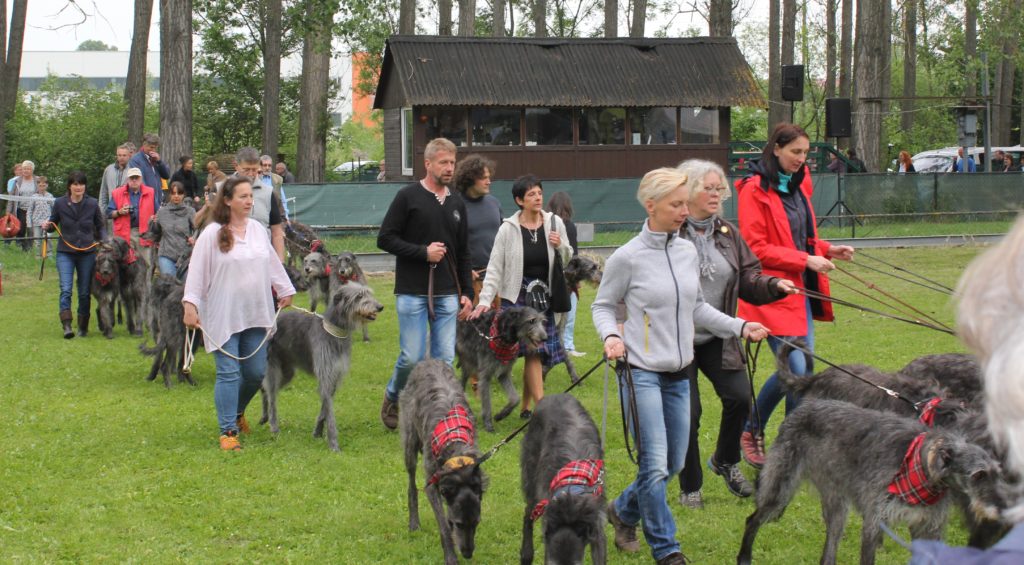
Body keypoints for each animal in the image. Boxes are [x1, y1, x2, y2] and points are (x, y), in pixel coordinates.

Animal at [259, 283, 383, 451]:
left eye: (369, 293)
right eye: (359, 296)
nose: (380, 307)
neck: (334, 332)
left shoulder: (335, 376)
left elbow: (325, 407)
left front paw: (317, 432)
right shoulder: (325, 373)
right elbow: (330, 412)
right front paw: (334, 444)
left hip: (287, 372)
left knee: (264, 389)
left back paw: (264, 417)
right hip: (274, 368)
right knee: (271, 396)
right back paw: (273, 427)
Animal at [400, 359, 487, 565]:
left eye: (476, 523)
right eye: (459, 524)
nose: (467, 554)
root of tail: (427, 360)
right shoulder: (432, 483)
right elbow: (443, 526)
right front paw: (451, 556)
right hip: (410, 442)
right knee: (411, 484)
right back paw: (414, 522)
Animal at [736, 399, 1003, 565]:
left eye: (997, 472)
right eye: (978, 475)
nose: (1001, 513)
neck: (920, 469)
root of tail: (802, 407)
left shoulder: (927, 528)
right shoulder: (874, 522)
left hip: (836, 504)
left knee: (828, 552)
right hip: (781, 488)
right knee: (752, 520)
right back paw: (744, 557)